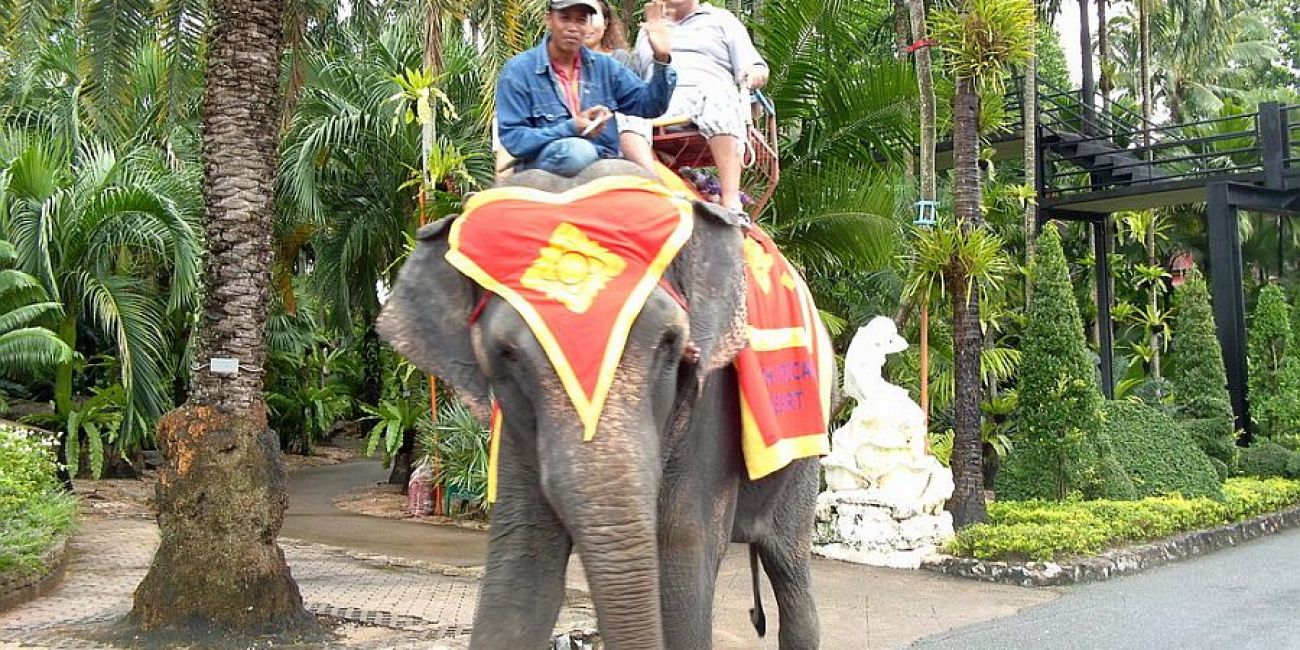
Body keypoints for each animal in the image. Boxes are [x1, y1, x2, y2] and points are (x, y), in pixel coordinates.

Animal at [379, 158, 821, 650]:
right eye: (506, 354)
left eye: (670, 342)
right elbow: (521, 566)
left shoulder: (713, 398)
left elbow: (681, 559)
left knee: (790, 569)